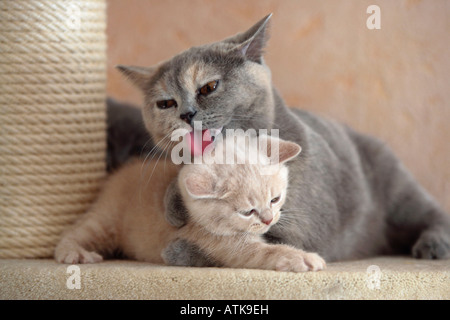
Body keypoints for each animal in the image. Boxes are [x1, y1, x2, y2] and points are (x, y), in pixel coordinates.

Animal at [54, 136, 326, 272]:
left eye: (275, 199)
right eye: (247, 212)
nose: (269, 219)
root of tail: (117, 175)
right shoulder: (219, 242)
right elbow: (264, 252)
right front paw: (302, 259)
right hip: (106, 219)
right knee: (74, 232)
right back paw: (74, 253)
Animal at [117, 13, 450, 262]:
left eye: (209, 87)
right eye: (165, 103)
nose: (186, 114)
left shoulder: (307, 228)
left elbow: (251, 241)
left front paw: (181, 247)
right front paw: (174, 206)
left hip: (399, 192)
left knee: (432, 213)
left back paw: (433, 246)